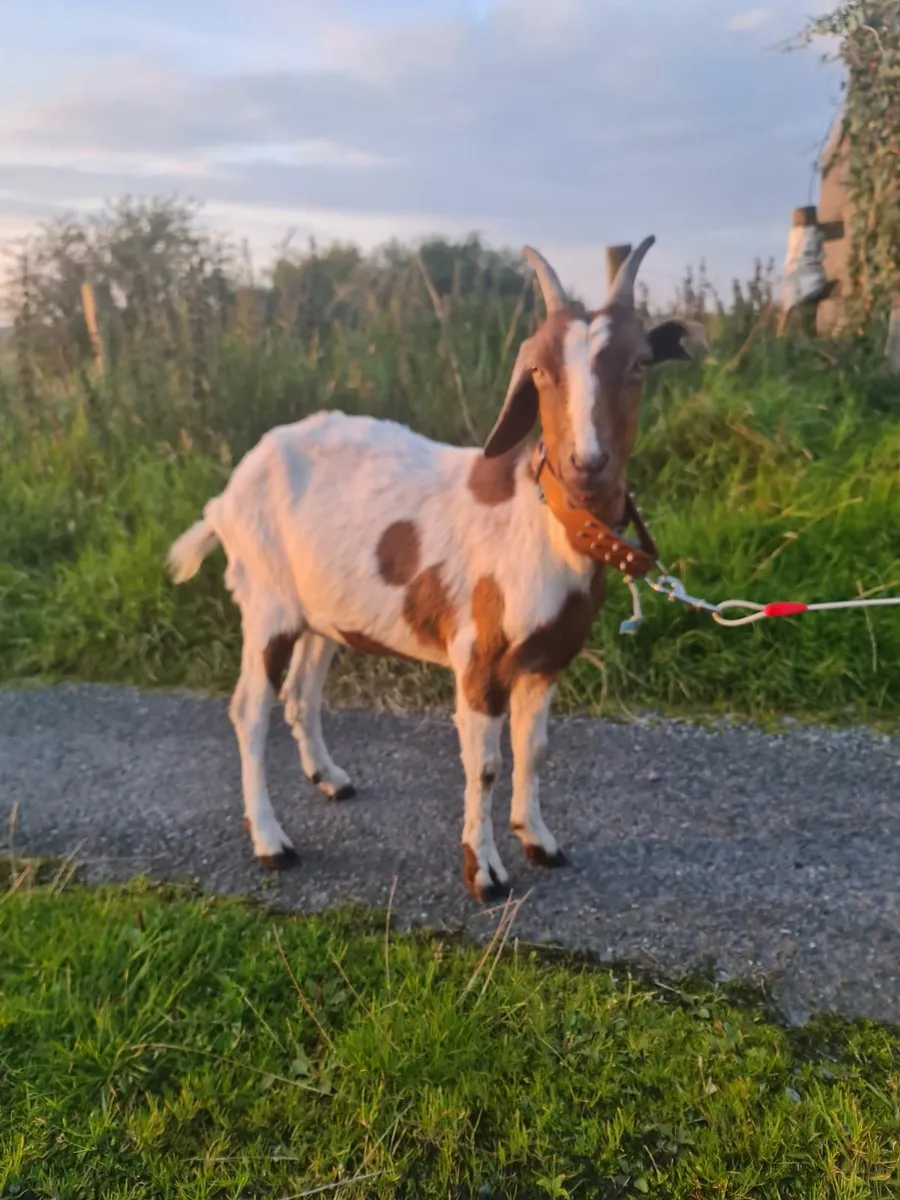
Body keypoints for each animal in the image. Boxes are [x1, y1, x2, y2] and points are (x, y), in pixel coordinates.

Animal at [167, 236, 702, 901]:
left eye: (638, 364)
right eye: (539, 371)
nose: (587, 464)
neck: (543, 518)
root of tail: (228, 494)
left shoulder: (546, 658)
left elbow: (535, 749)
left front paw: (539, 840)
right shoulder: (481, 653)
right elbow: (487, 763)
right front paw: (486, 873)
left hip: (323, 608)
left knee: (300, 692)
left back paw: (331, 778)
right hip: (266, 601)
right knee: (249, 709)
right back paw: (271, 842)